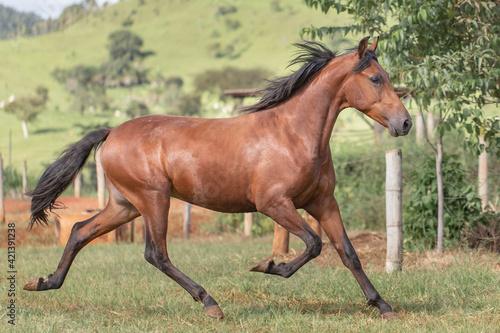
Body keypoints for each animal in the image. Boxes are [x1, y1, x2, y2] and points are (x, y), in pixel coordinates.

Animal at [24, 37, 410, 320]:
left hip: (126, 205)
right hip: (153, 199)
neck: (293, 134)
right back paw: (210, 303)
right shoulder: (273, 204)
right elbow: (314, 244)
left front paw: (383, 306)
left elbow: (348, 253)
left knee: (80, 231)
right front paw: (268, 266)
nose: (404, 123)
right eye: (376, 78)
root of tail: (112, 131)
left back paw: (44, 282)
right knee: (156, 254)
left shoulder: (323, 202)